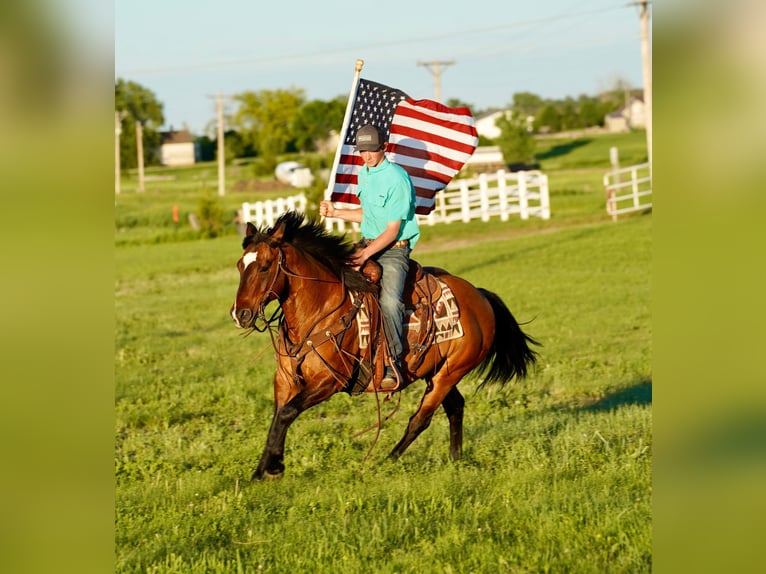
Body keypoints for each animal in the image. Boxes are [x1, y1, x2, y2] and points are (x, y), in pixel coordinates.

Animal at [231, 212, 536, 482]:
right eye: (239, 266)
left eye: (265, 266)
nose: (240, 314)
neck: (320, 310)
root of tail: (480, 297)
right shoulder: (284, 380)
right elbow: (277, 417)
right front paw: (264, 469)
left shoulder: (329, 381)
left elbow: (286, 414)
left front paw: (271, 469)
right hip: (437, 372)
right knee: (455, 407)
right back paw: (455, 459)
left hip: (449, 374)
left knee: (420, 419)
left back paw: (385, 461)